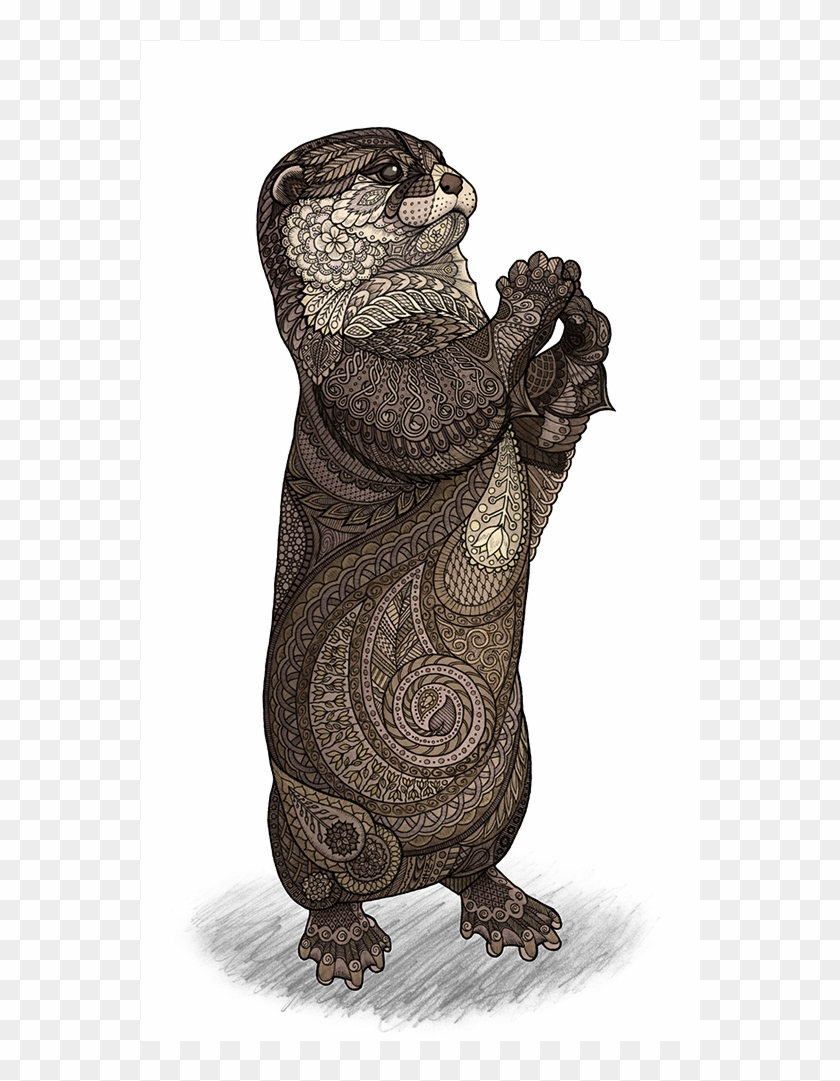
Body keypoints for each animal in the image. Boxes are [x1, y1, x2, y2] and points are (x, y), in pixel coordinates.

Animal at [257, 128, 611, 989]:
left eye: (437, 152)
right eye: (389, 170)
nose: (450, 179)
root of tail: (412, 871)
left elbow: (546, 430)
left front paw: (583, 330)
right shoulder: (346, 377)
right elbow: (440, 403)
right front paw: (534, 289)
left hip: (511, 779)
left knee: (476, 862)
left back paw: (507, 908)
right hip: (303, 817)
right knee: (323, 879)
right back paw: (344, 937)